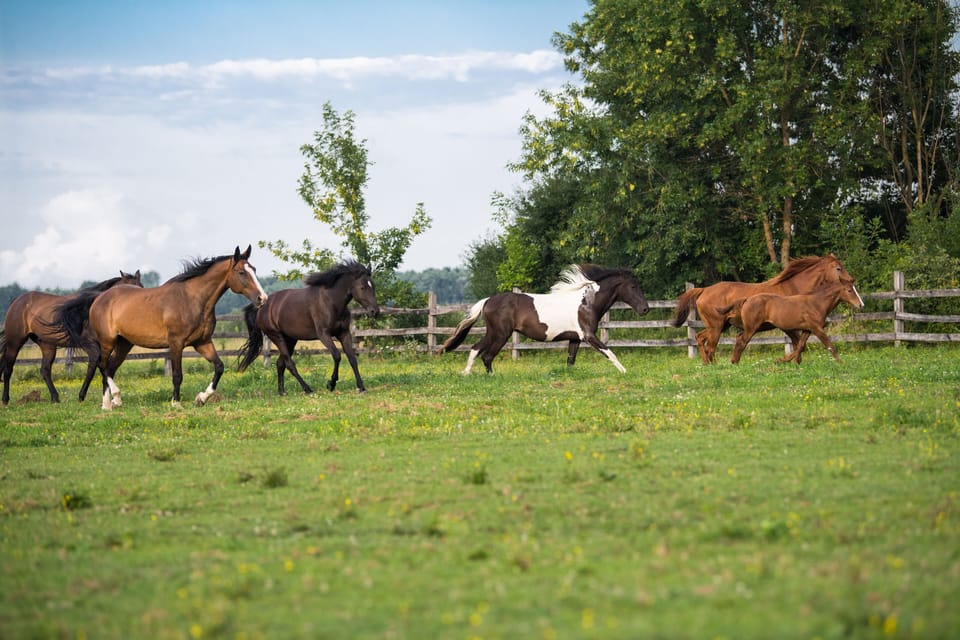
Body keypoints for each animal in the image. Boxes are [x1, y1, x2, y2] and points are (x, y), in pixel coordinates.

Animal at [0, 271, 142, 405]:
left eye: (140, 286)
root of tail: (17, 301)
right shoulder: (89, 345)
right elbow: (95, 365)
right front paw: (82, 396)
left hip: (47, 345)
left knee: (45, 370)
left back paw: (55, 398)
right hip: (15, 343)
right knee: (8, 369)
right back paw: (5, 400)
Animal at [54, 246, 267, 409]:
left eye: (254, 269)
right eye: (241, 272)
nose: (262, 298)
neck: (192, 300)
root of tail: (99, 298)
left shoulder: (202, 343)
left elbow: (219, 367)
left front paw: (201, 398)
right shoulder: (176, 343)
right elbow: (177, 375)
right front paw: (176, 403)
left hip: (124, 344)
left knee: (110, 367)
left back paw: (115, 401)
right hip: (108, 341)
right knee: (102, 365)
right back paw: (107, 403)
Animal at [236, 260, 379, 395]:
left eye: (373, 286)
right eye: (362, 287)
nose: (375, 311)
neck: (331, 302)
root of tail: (262, 307)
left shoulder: (344, 334)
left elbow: (352, 359)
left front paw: (361, 387)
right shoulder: (324, 335)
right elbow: (337, 356)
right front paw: (331, 384)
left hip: (290, 339)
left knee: (280, 363)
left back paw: (282, 392)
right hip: (276, 336)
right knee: (289, 364)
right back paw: (307, 389)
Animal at [437, 264, 650, 374]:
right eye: (633, 286)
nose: (645, 309)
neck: (587, 302)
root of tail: (488, 300)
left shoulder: (575, 338)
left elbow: (570, 361)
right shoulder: (588, 336)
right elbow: (609, 353)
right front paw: (625, 372)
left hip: (495, 333)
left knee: (477, 350)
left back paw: (467, 374)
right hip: (500, 333)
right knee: (485, 354)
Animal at [718, 281, 865, 364]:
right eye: (849, 290)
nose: (861, 305)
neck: (817, 303)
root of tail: (747, 299)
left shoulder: (808, 329)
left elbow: (800, 346)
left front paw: (786, 361)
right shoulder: (817, 328)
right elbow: (829, 345)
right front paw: (841, 363)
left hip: (758, 327)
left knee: (739, 338)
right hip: (752, 327)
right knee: (742, 341)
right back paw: (734, 362)